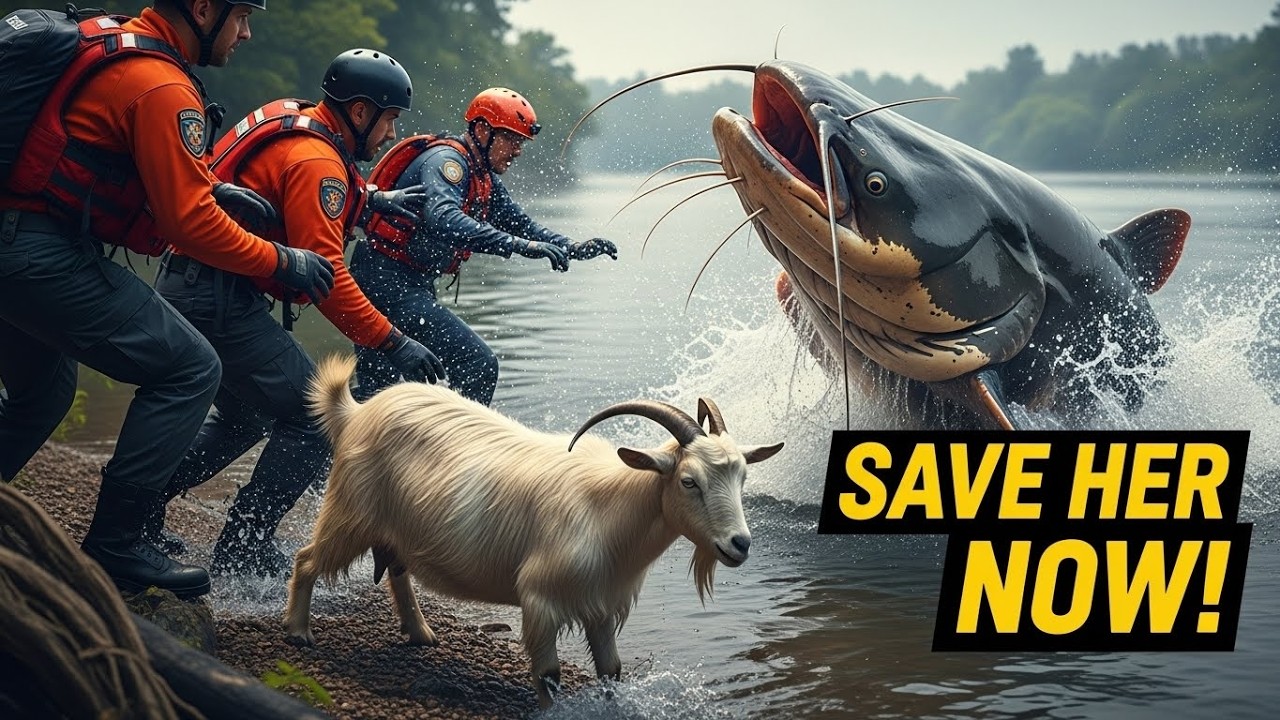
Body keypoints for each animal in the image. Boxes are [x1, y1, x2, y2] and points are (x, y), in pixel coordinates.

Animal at [284, 355, 784, 708]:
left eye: (743, 476)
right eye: (688, 481)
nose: (739, 544)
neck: (608, 510)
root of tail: (357, 411)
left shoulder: (601, 603)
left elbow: (611, 671)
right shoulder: (540, 600)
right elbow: (549, 677)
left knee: (398, 570)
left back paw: (420, 633)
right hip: (350, 512)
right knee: (307, 559)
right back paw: (298, 632)